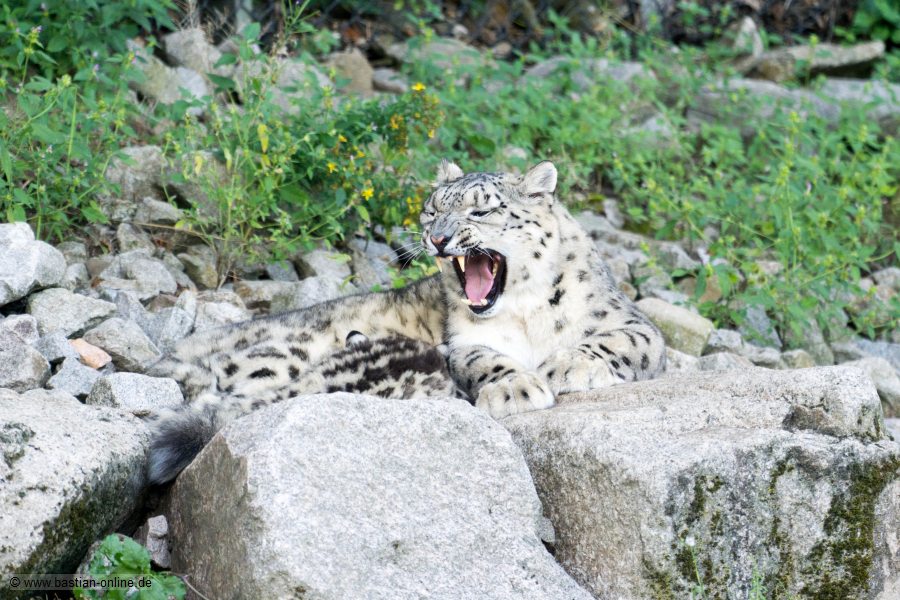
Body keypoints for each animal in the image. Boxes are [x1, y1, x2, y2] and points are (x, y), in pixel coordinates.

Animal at [146, 160, 666, 484]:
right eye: (432, 210)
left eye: (482, 208)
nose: (437, 238)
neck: (523, 312)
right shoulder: (462, 342)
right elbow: (483, 357)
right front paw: (516, 387)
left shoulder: (633, 323)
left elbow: (624, 340)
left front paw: (570, 365)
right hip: (280, 357)